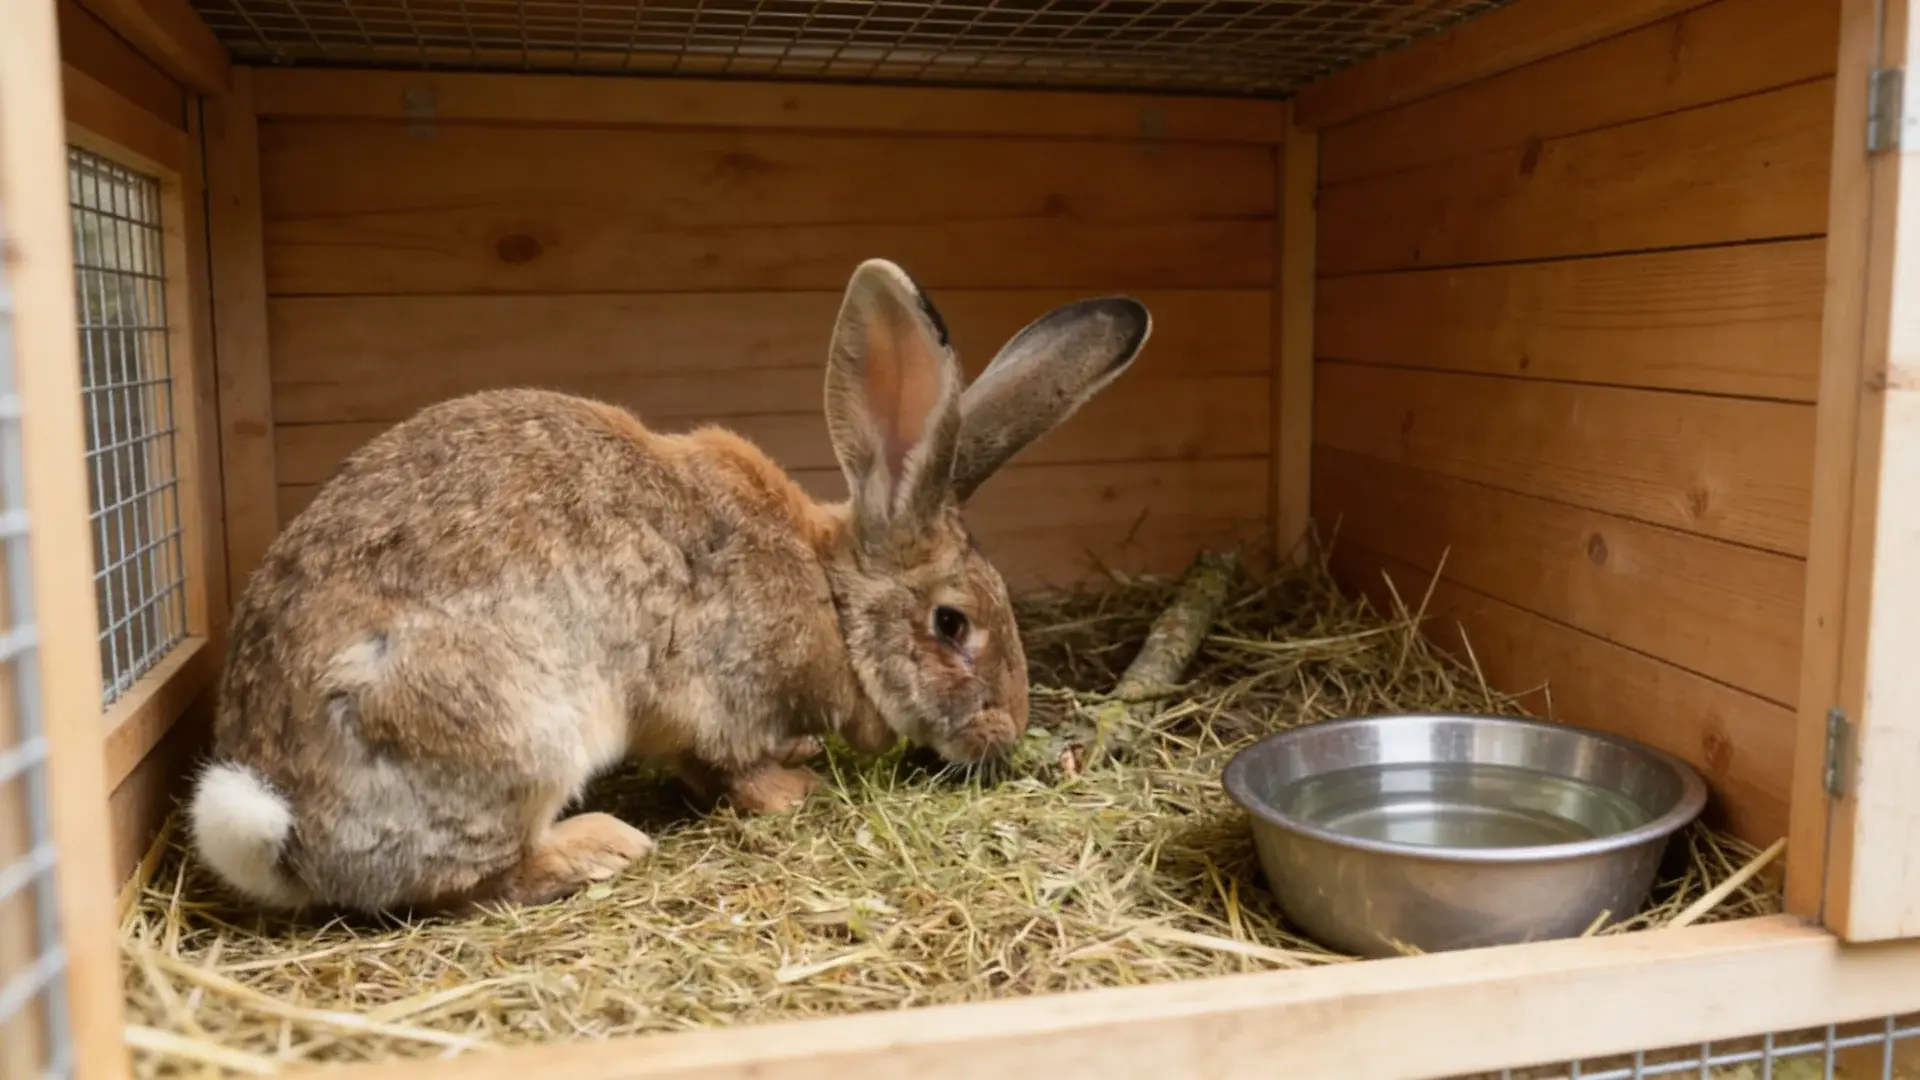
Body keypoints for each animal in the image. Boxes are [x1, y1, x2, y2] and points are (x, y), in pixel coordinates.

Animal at [186, 258, 1151, 916]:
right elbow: (731, 764)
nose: (1005, 734)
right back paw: (599, 847)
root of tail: (284, 839)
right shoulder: (722, 691)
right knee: (467, 881)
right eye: (953, 625)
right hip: (512, 731)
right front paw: (796, 792)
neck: (830, 594)